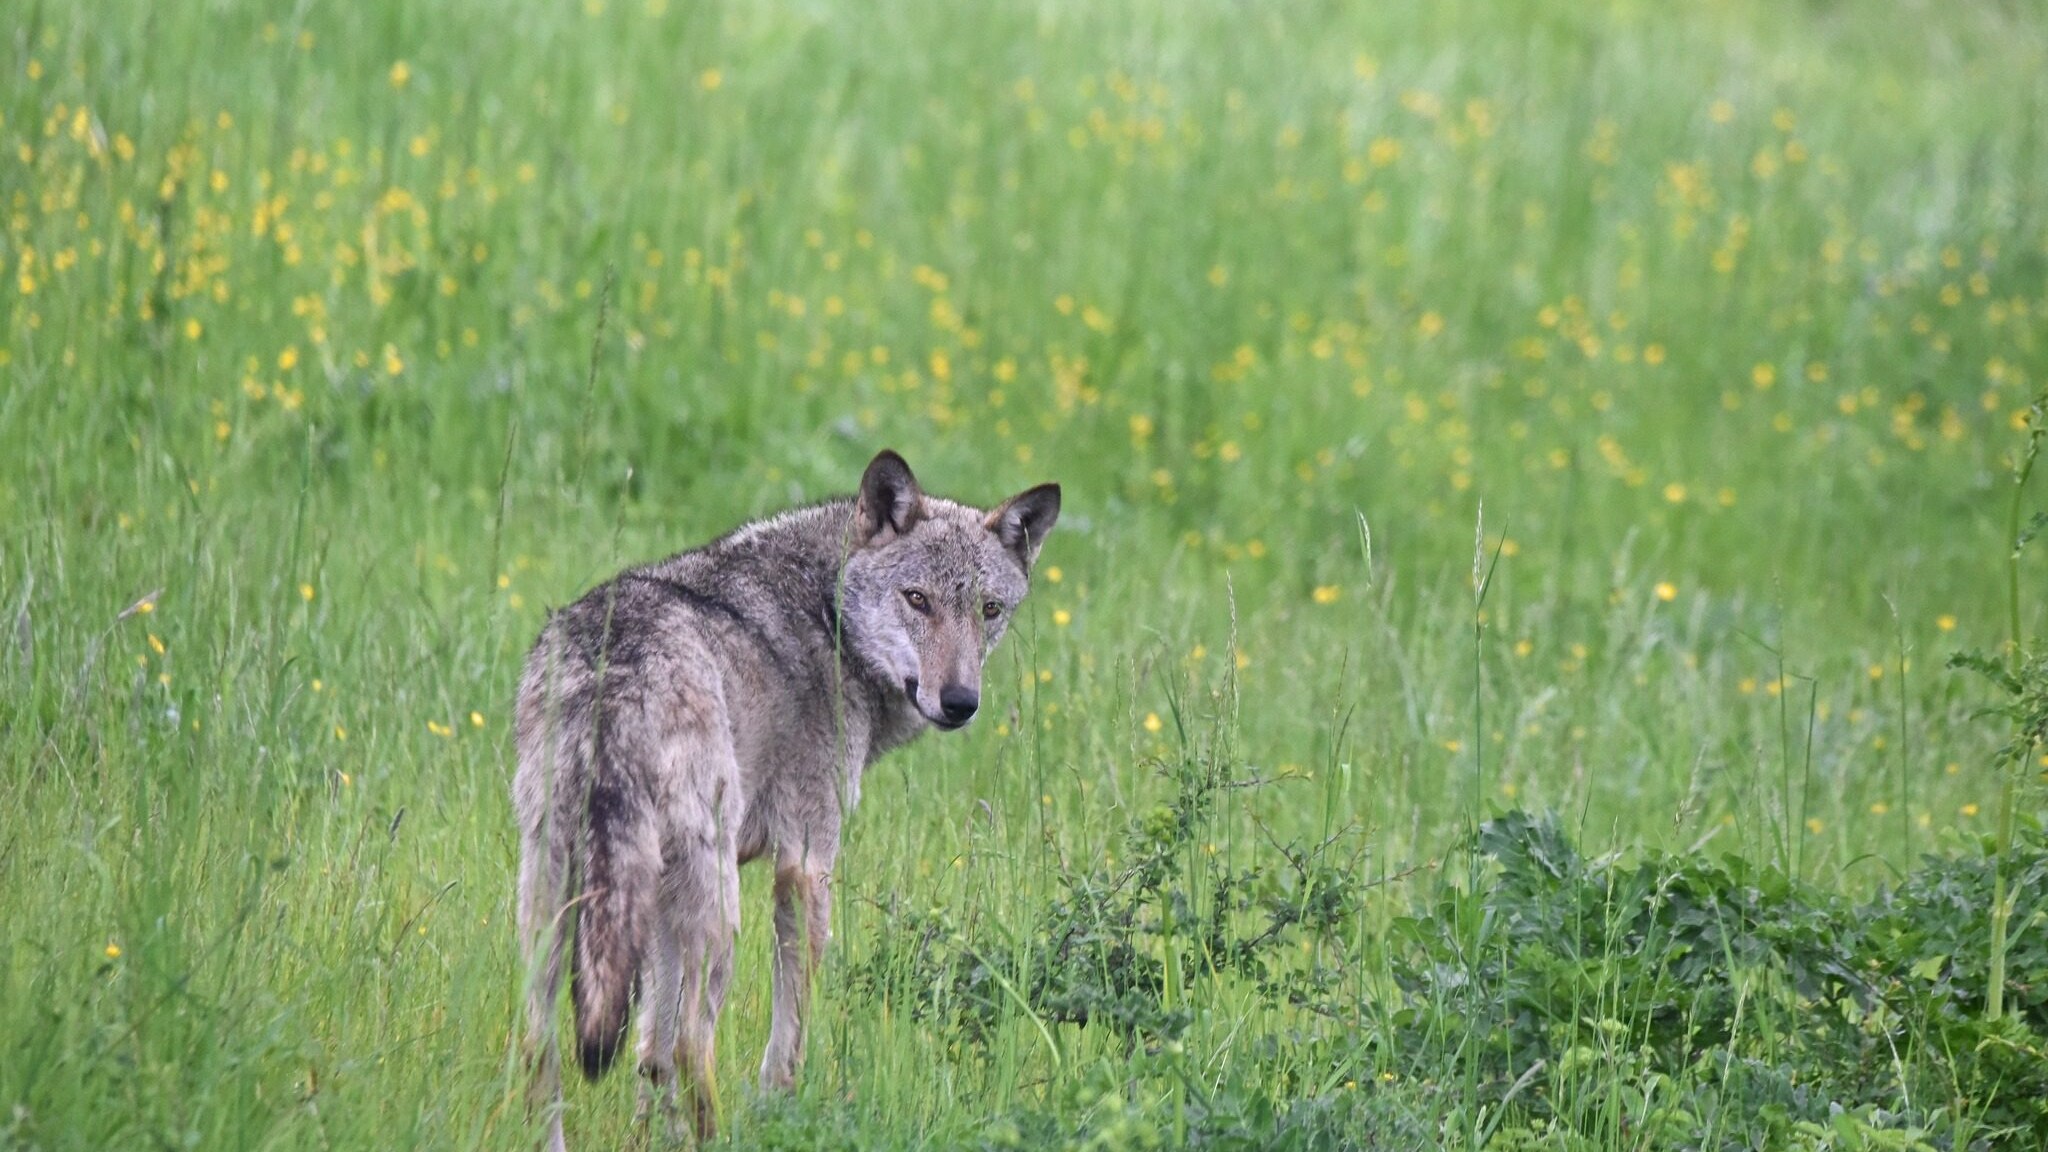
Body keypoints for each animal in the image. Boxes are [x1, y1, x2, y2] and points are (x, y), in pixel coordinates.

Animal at [513, 450, 1059, 1148]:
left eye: (989, 610)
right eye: (918, 600)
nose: (960, 702)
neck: (827, 613)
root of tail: (617, 667)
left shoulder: (658, 903)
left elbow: (648, 1054)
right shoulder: (805, 865)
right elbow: (786, 1044)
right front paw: (782, 1116)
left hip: (559, 900)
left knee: (547, 1049)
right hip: (719, 912)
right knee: (694, 1046)